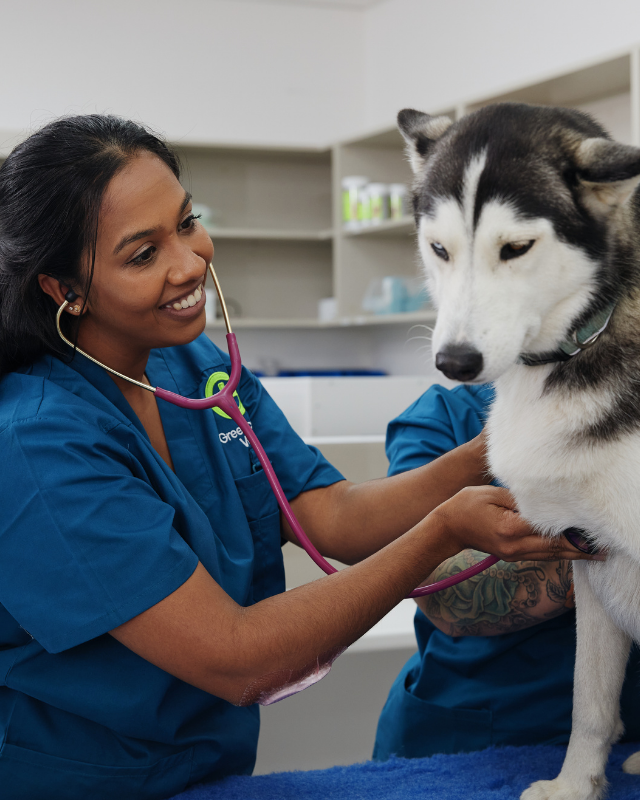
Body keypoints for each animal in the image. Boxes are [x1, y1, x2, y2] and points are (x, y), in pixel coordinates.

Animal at [398, 101, 640, 800]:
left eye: (516, 248)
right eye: (440, 249)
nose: (453, 363)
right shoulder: (593, 559)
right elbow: (589, 702)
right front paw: (576, 785)